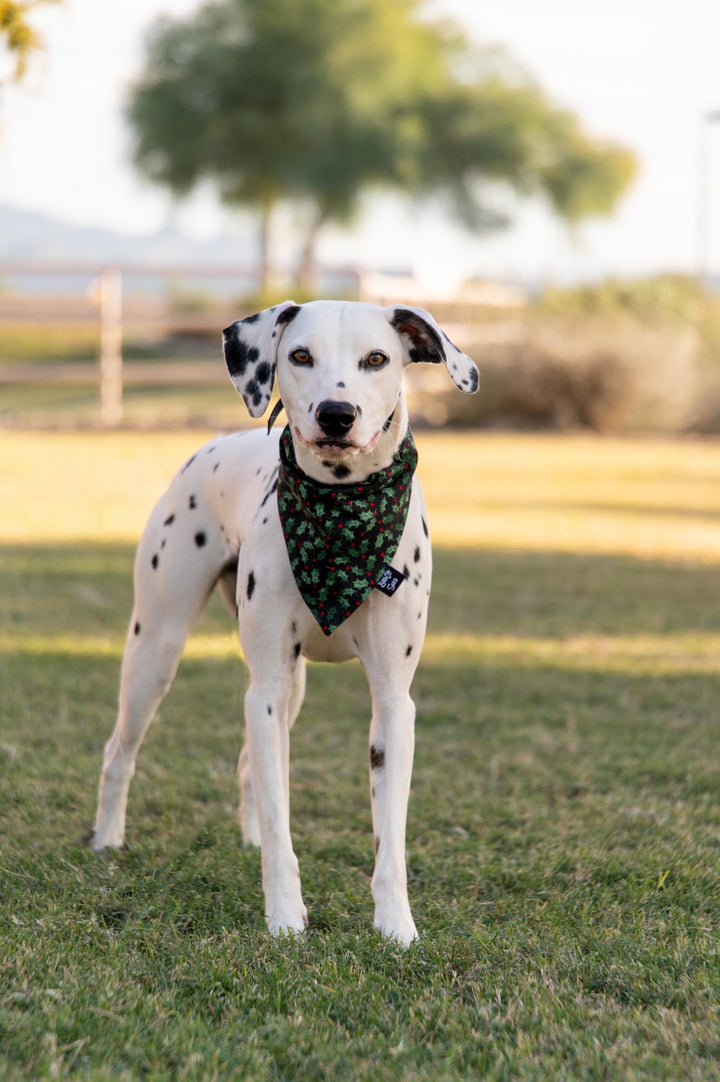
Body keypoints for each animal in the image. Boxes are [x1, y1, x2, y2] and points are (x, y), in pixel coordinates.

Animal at [91, 300, 476, 943]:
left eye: (377, 359)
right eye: (300, 355)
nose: (337, 415)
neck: (341, 513)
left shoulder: (392, 703)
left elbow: (389, 839)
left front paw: (396, 927)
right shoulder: (265, 690)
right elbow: (280, 824)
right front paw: (285, 918)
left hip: (290, 687)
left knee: (250, 764)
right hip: (157, 650)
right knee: (121, 750)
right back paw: (107, 839)